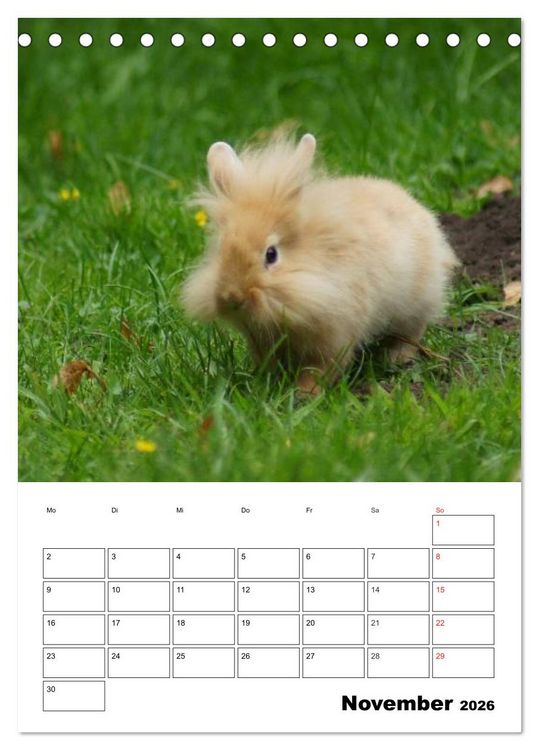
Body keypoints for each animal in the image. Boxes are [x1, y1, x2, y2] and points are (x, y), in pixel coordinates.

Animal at [182, 133, 459, 395]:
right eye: (222, 250)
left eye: (271, 254)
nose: (232, 298)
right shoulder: (261, 340)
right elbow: (269, 364)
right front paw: (267, 386)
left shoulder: (334, 338)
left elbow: (319, 368)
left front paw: (304, 394)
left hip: (416, 304)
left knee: (411, 331)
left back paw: (396, 359)